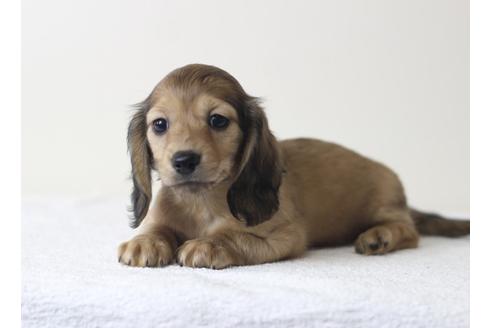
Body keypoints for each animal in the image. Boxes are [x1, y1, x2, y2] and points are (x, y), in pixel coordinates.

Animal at [118, 64, 468, 270]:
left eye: (218, 120)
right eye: (160, 125)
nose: (184, 160)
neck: (200, 201)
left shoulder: (286, 236)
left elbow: (235, 237)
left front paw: (209, 244)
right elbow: (157, 227)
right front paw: (145, 241)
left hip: (384, 203)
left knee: (410, 231)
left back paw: (380, 236)